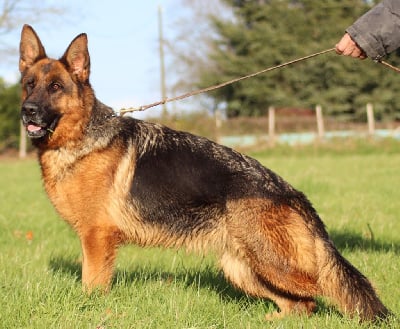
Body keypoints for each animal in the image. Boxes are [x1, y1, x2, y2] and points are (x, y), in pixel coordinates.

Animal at [19, 25, 390, 320]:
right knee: (302, 304)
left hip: (272, 264)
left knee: (328, 287)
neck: (80, 137)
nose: (27, 110)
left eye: (55, 87)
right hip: (244, 268)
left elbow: (92, 285)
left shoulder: (97, 238)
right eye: (29, 84)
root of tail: (290, 191)